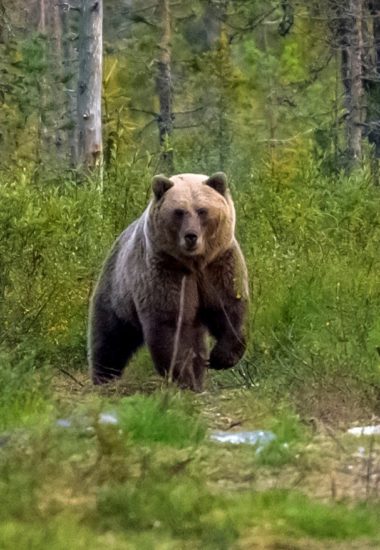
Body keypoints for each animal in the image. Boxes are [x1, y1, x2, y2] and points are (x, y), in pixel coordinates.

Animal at [87, 172, 248, 392]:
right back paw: (104, 377)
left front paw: (219, 358)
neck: (194, 263)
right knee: (111, 337)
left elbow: (229, 307)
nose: (191, 236)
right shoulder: (166, 271)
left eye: (202, 210)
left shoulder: (219, 264)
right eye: (179, 211)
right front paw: (182, 377)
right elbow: (170, 325)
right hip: (117, 290)